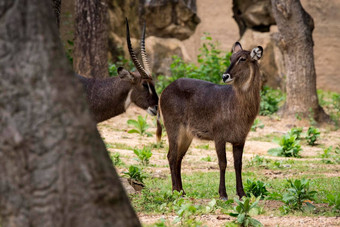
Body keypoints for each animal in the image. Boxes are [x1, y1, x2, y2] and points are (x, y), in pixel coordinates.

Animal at [158, 41, 264, 200]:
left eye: (243, 58)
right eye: (231, 57)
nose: (225, 76)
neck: (236, 105)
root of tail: (164, 90)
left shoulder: (240, 139)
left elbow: (238, 164)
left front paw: (242, 194)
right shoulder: (219, 137)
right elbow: (223, 163)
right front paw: (223, 194)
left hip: (187, 135)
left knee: (178, 158)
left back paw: (182, 191)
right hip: (173, 128)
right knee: (171, 156)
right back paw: (175, 191)